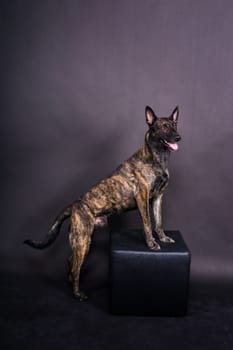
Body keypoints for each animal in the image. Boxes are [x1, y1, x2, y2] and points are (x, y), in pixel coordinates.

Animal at [25, 105, 182, 300]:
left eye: (175, 125)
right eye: (163, 127)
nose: (178, 137)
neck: (157, 157)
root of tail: (74, 205)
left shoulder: (158, 198)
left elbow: (159, 222)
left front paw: (163, 238)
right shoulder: (143, 197)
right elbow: (147, 223)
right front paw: (151, 243)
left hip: (81, 240)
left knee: (70, 261)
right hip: (83, 240)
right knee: (76, 267)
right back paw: (77, 293)